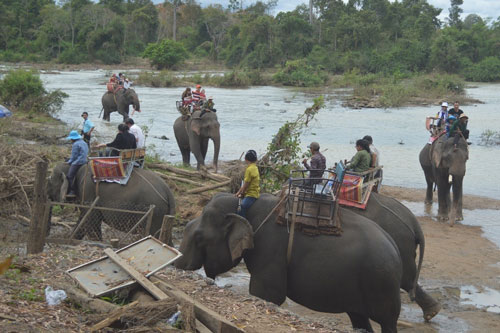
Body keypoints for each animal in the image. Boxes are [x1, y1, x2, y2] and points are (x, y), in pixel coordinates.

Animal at [176, 192, 402, 332]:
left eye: (199, 238)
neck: (243, 204)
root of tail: (395, 247)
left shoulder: (270, 248)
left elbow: (267, 295)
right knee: (359, 318)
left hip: (381, 284)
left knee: (387, 323)